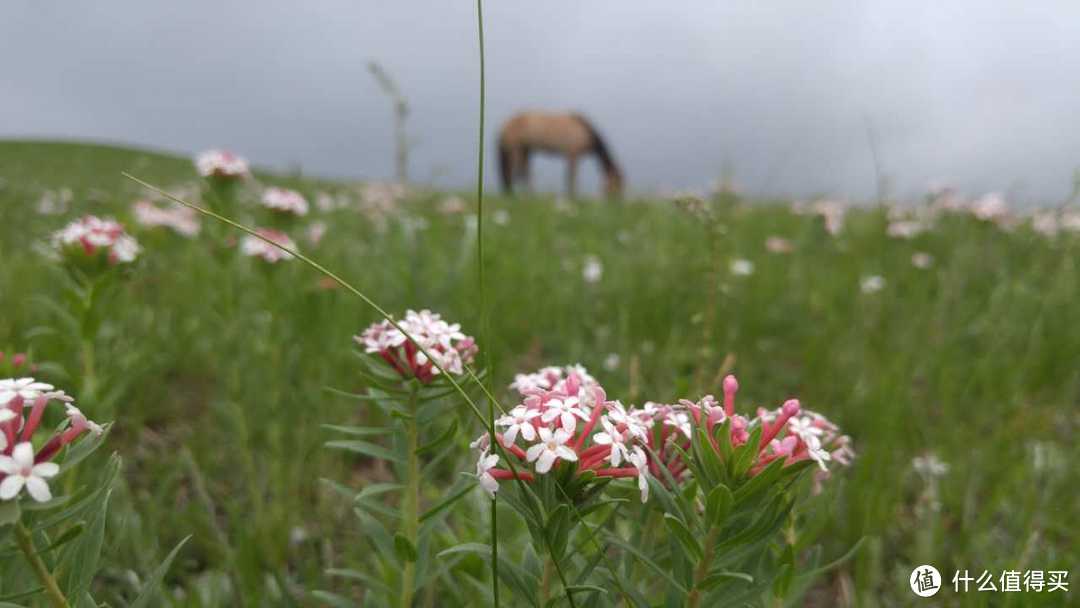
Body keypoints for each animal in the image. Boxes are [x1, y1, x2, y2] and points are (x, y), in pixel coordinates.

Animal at [496, 111, 626, 199]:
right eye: (616, 184)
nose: (617, 202)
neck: (584, 131)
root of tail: (504, 126)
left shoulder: (570, 156)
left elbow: (568, 176)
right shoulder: (573, 154)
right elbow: (571, 177)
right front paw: (573, 197)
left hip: (526, 150)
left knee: (523, 172)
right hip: (516, 149)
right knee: (514, 172)